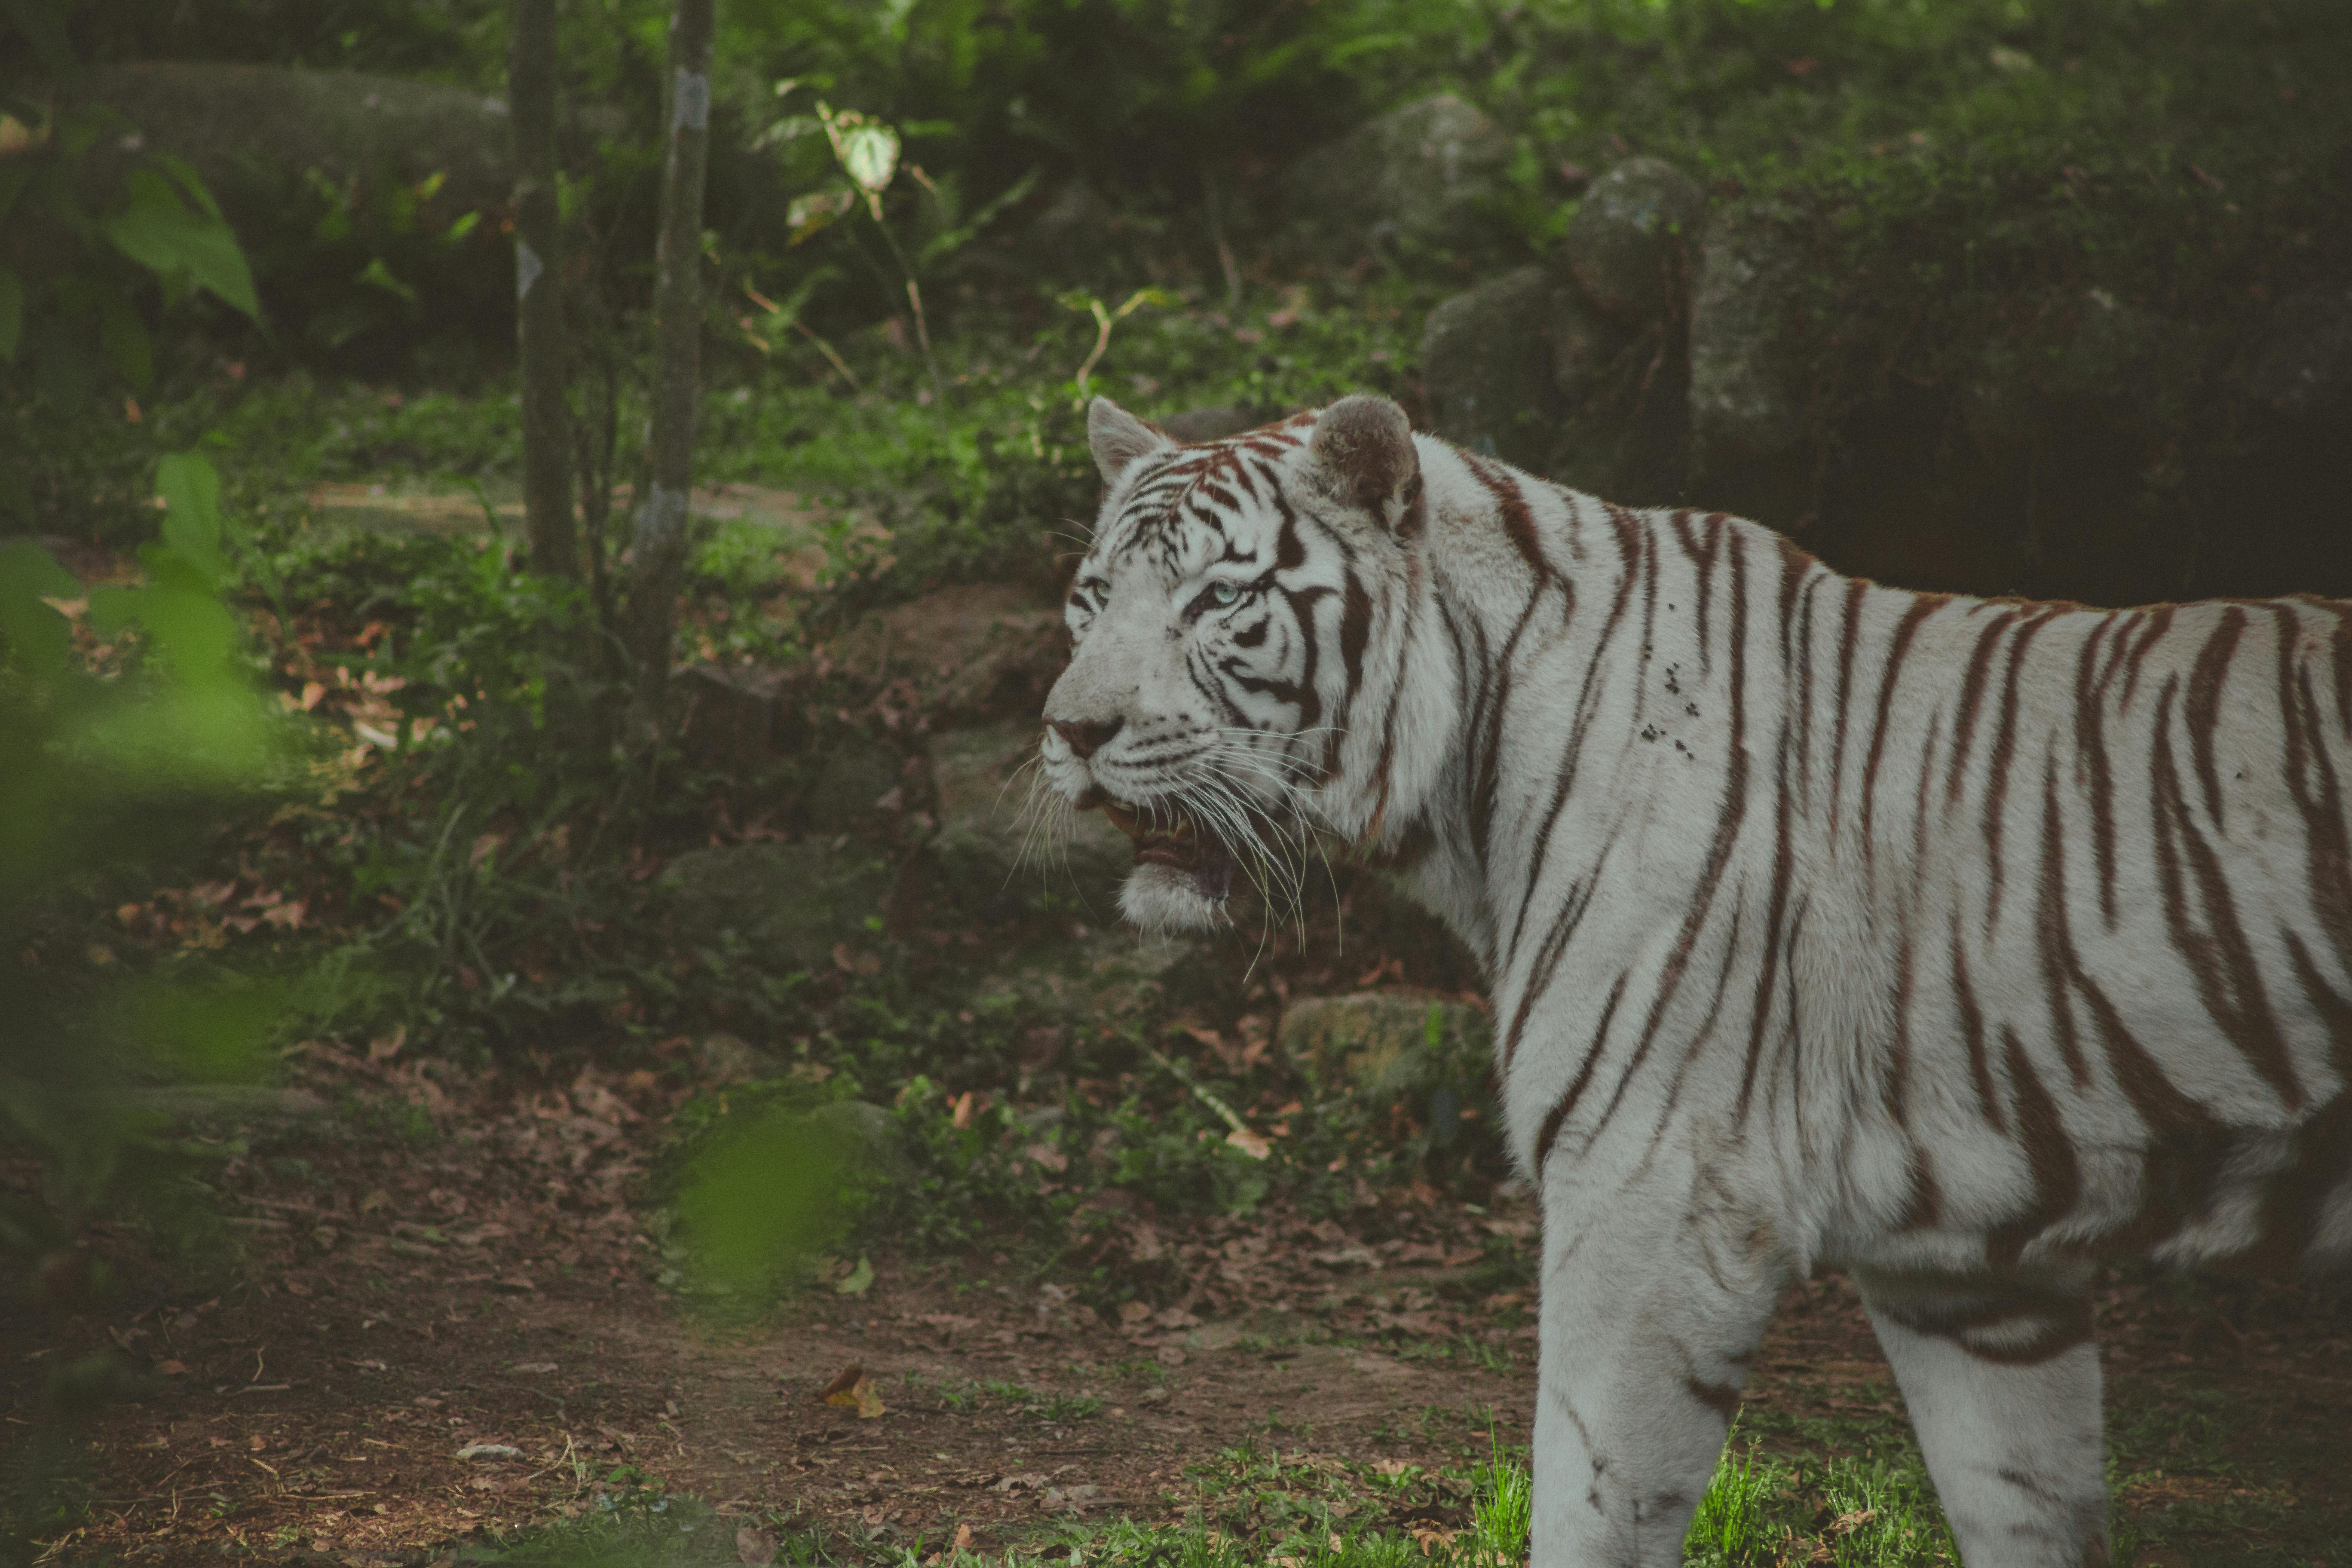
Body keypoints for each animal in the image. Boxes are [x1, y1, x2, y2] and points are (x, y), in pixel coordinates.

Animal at [1044, 392, 2352, 1568]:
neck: (1469, 782)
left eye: (1219, 601)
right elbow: (2025, 1506)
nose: (1068, 731)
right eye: (1092, 599)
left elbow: (1584, 1509)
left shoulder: (1659, 1193)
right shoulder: (1967, 1265)